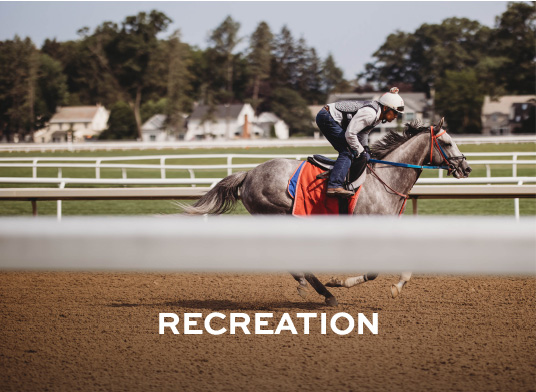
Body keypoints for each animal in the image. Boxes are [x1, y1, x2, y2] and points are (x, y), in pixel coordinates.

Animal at [182, 119, 472, 306]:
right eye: (447, 143)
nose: (466, 168)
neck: (387, 178)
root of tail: (249, 173)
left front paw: (398, 285)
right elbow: (373, 272)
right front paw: (338, 282)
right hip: (277, 215)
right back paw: (323, 291)